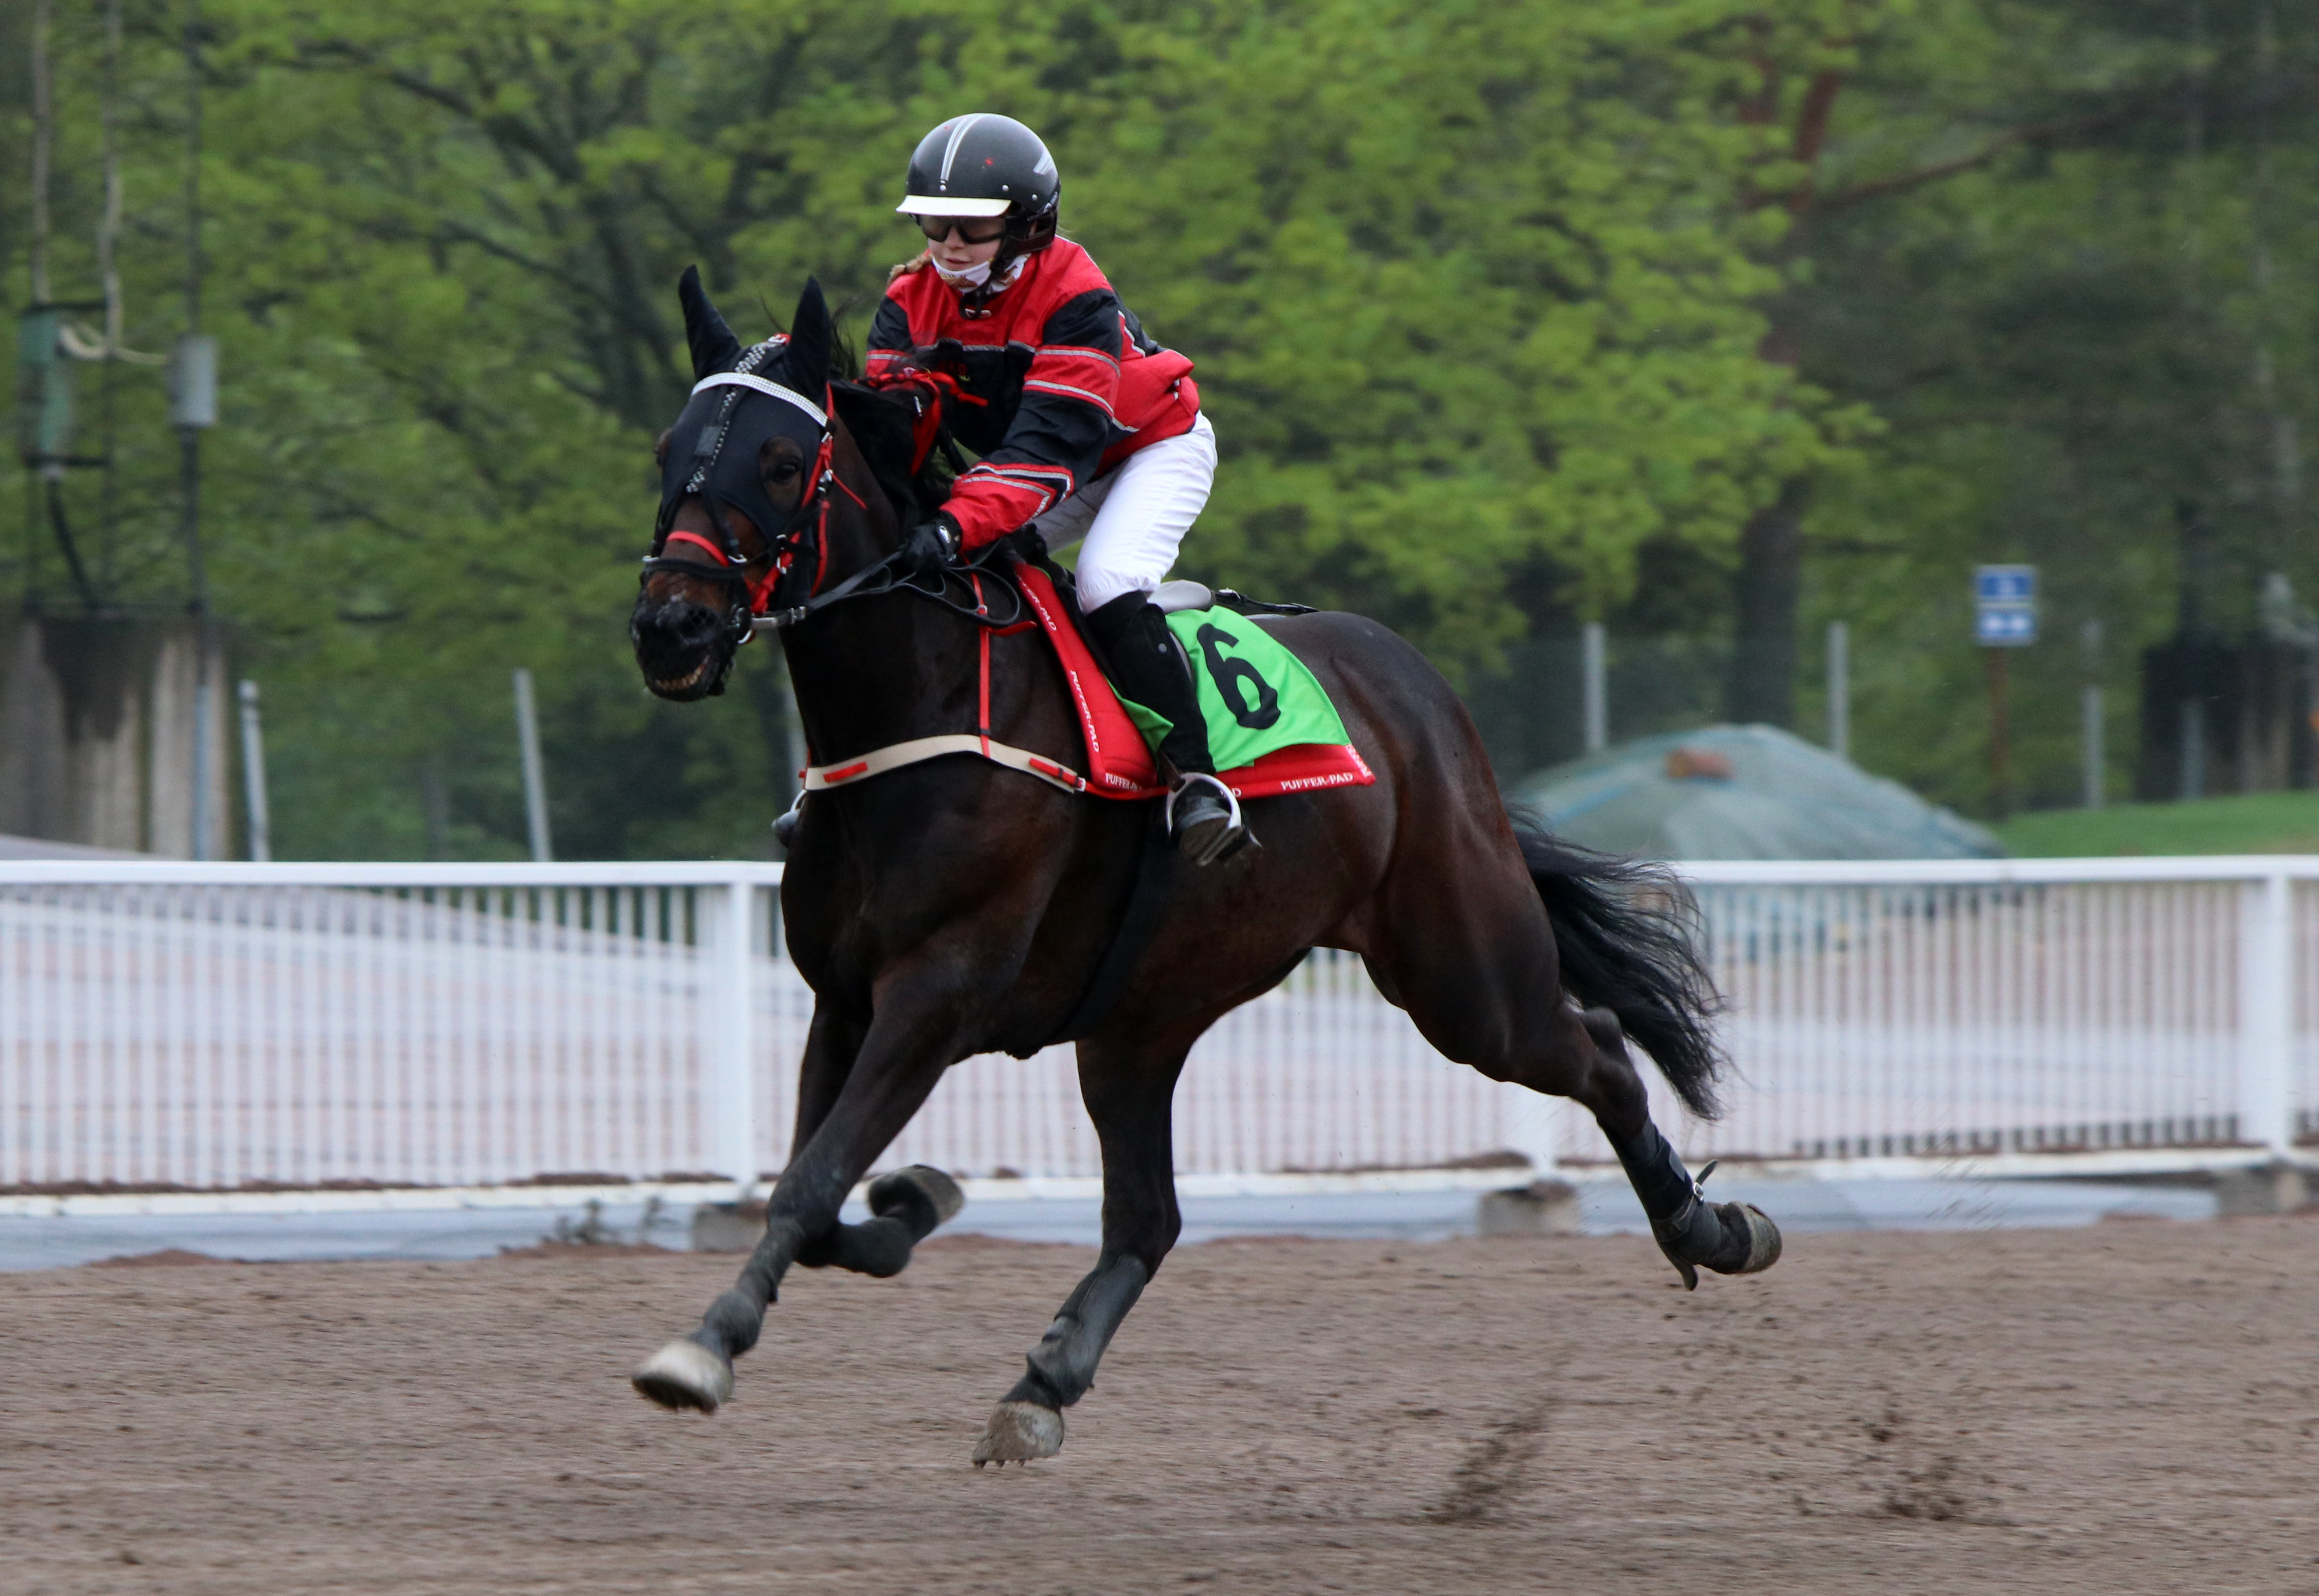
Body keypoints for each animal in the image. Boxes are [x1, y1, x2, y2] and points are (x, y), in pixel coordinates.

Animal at [616, 271, 1771, 1457]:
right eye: (667, 448)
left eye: (779, 461)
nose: (672, 626)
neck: (915, 710)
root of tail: (1415, 686)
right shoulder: (846, 997)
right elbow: (815, 1193)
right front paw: (911, 1204)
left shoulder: (936, 991)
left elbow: (810, 1182)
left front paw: (701, 1350)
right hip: (1140, 1019)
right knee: (1149, 1216)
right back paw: (1042, 1384)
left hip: (1463, 973)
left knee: (1597, 1049)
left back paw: (1710, 1227)